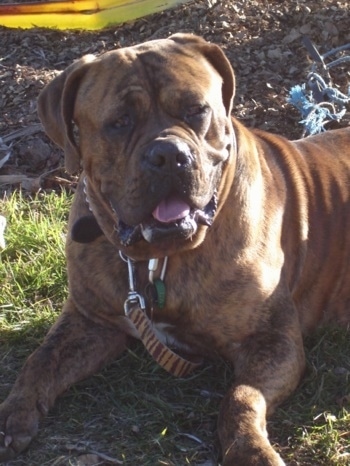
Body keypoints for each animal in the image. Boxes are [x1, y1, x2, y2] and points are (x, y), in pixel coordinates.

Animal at [0, 33, 350, 466]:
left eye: (196, 110)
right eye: (119, 122)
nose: (169, 154)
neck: (156, 259)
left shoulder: (273, 341)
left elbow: (239, 397)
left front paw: (250, 450)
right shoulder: (90, 321)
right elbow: (41, 359)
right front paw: (13, 412)